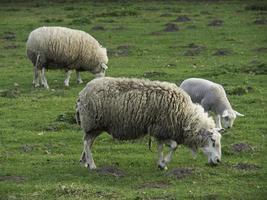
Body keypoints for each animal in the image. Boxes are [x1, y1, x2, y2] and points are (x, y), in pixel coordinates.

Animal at [74, 77, 223, 170]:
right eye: (213, 141)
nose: (218, 161)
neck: (185, 115)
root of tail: (82, 93)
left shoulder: (161, 131)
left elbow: (162, 147)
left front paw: (161, 163)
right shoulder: (161, 128)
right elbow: (174, 146)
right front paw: (164, 163)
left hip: (96, 126)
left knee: (88, 142)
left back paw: (84, 161)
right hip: (93, 123)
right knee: (87, 143)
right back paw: (92, 165)